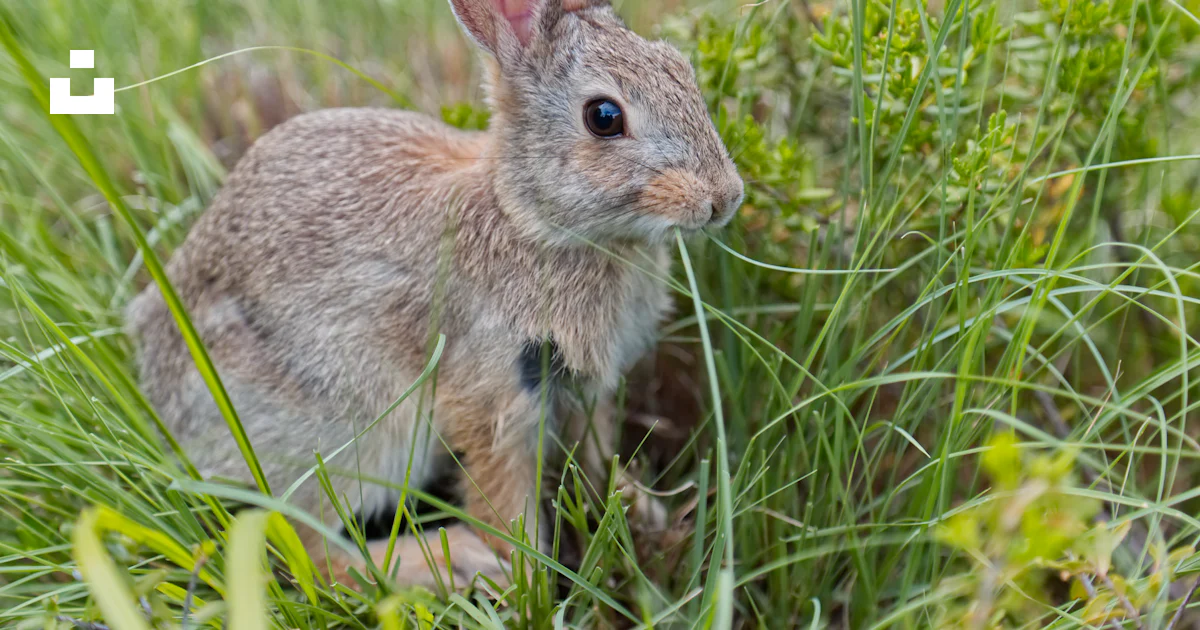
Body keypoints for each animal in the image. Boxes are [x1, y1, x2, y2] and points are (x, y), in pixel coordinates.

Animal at [126, 0, 743, 590]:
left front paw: (646, 514)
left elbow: (596, 461)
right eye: (605, 117)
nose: (724, 198)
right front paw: (524, 580)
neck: (529, 219)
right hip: (346, 429)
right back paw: (446, 567)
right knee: (301, 549)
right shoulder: (494, 393)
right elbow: (503, 498)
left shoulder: (585, 393)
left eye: (681, 68)